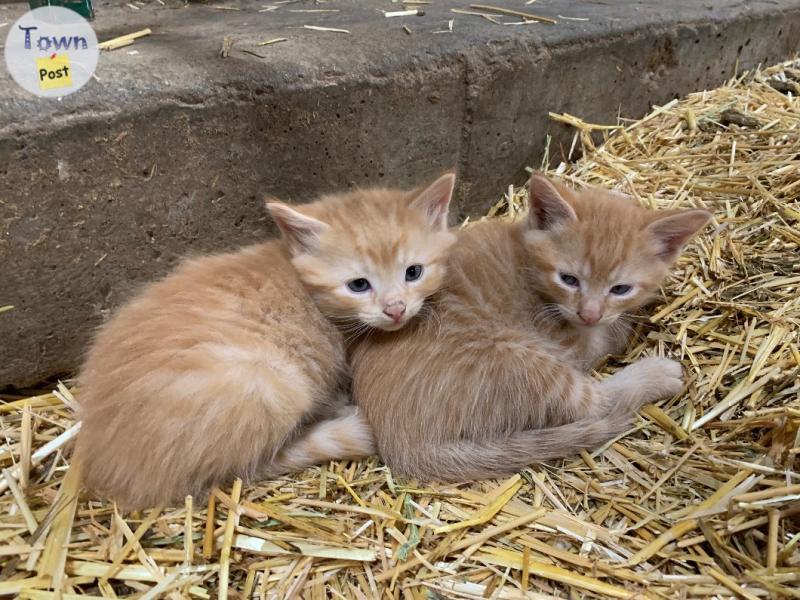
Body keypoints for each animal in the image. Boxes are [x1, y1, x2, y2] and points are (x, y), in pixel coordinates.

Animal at [75, 173, 456, 506]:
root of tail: (108, 464)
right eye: (358, 285)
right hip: (271, 386)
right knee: (248, 467)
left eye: (413, 272)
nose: (396, 309)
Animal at [354, 173, 708, 482]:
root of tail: (401, 444)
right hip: (518, 358)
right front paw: (622, 327)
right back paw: (656, 374)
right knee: (594, 405)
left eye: (620, 288)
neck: (530, 267)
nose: (589, 313)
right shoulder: (570, 343)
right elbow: (605, 339)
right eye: (568, 279)